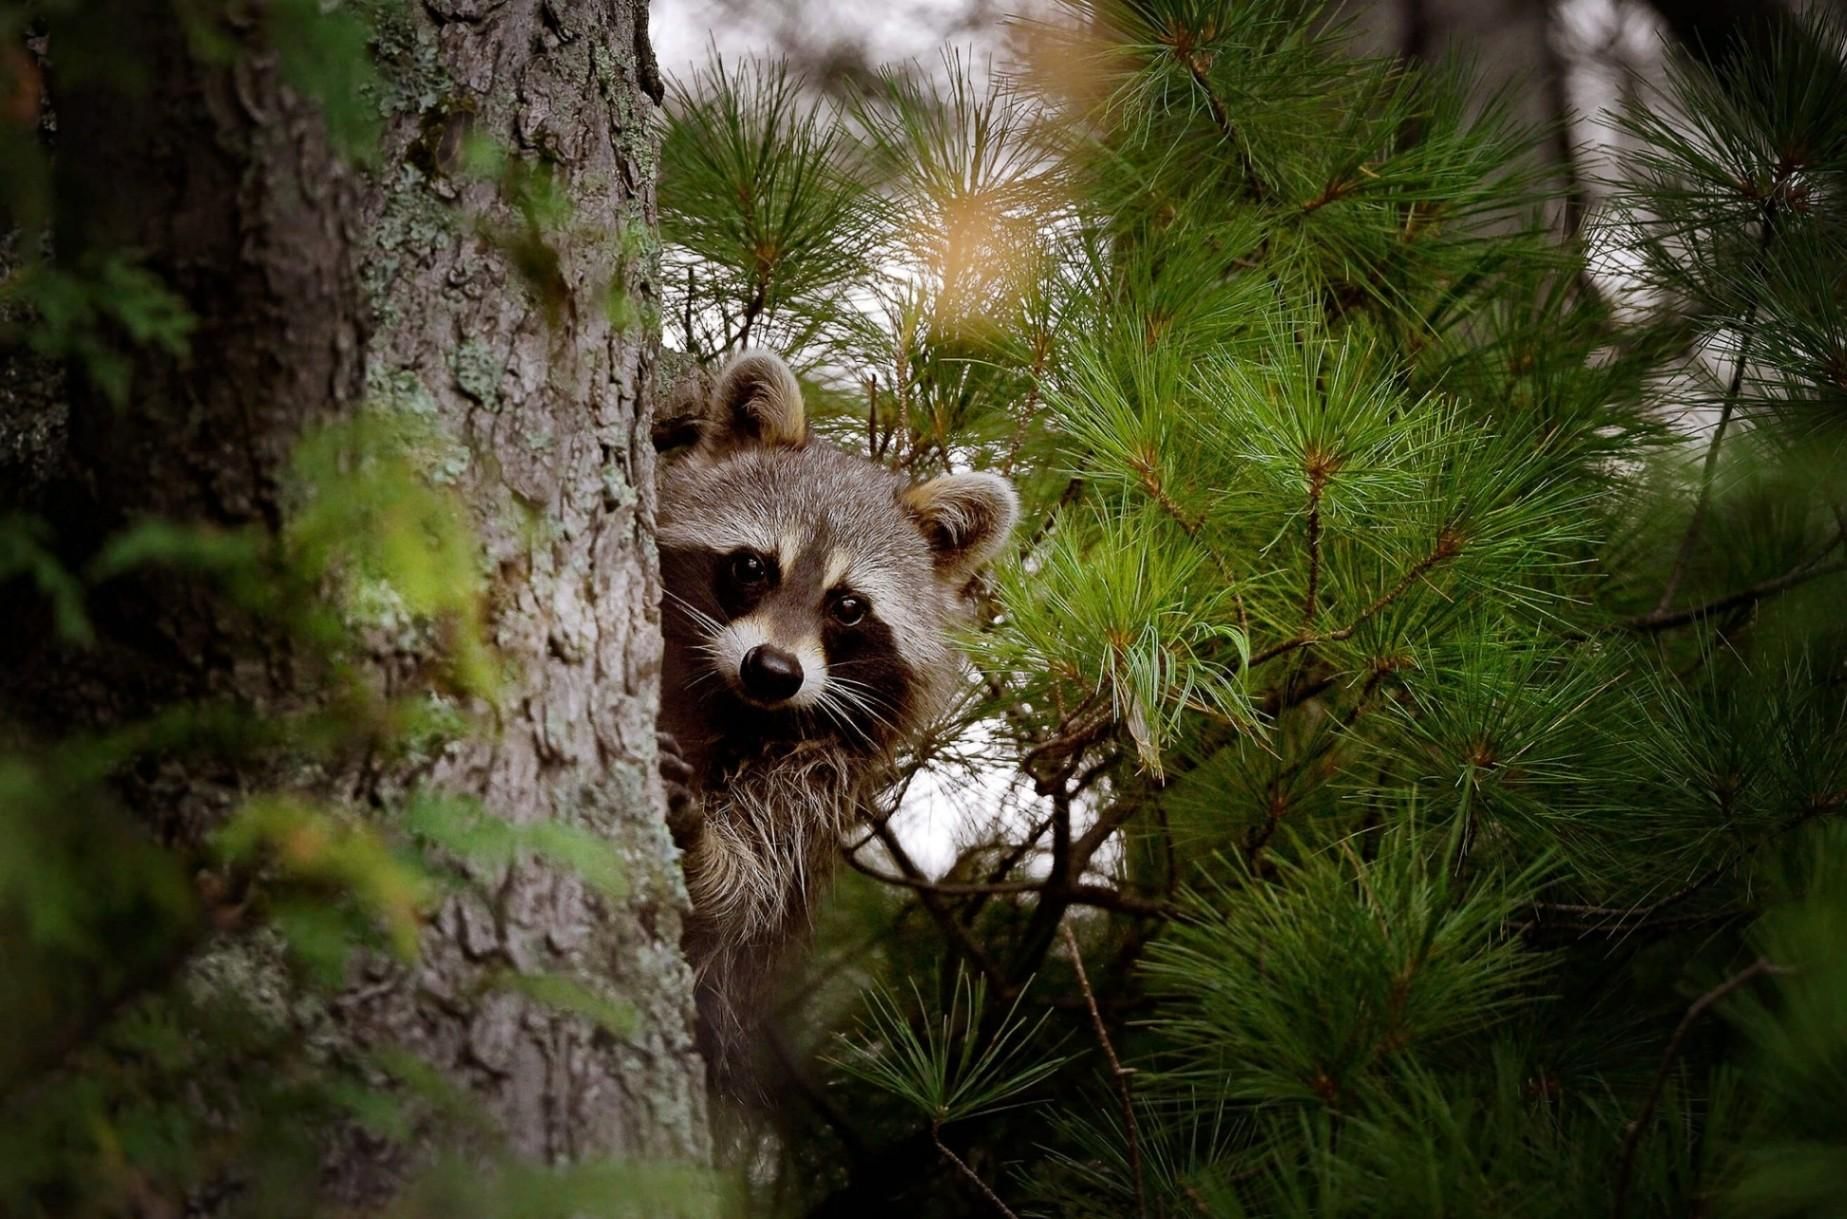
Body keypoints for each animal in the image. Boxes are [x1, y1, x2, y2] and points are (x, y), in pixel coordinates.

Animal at [653, 349, 1026, 1078]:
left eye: (848, 607)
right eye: (752, 566)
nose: (772, 670)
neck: (733, 703)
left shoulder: (819, 776)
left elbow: (744, 894)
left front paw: (704, 841)